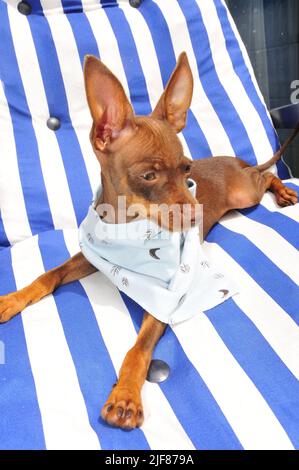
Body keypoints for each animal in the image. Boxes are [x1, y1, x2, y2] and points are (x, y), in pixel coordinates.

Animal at [0, 52, 298, 430]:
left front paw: (126, 396)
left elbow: (138, 349)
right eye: (148, 176)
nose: (195, 213)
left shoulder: (164, 299)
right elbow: (47, 275)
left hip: (245, 193)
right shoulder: (89, 258)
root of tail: (238, 161)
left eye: (186, 169)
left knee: (266, 176)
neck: (125, 229)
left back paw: (283, 190)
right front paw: (11, 299)